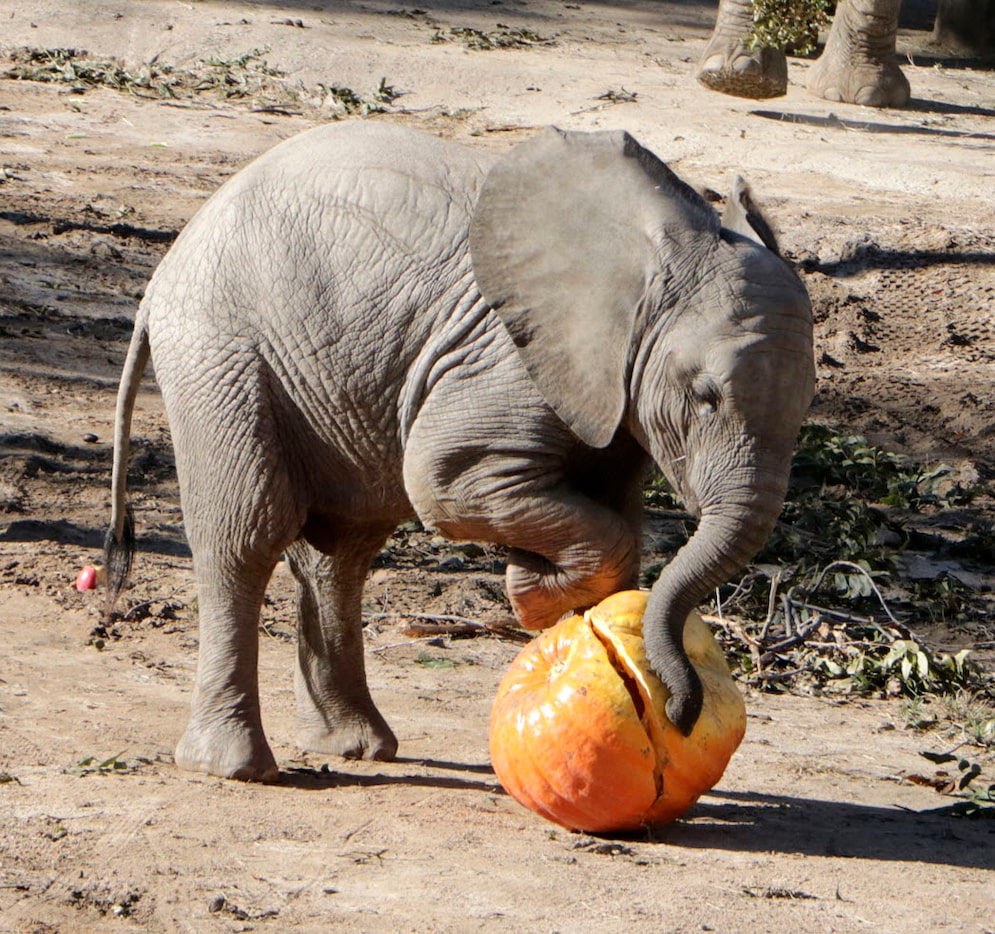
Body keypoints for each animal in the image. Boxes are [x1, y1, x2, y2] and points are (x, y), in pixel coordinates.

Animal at [105, 122, 812, 784]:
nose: (678, 713)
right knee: (247, 534)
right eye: (704, 397)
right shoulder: (509, 358)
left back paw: (355, 746)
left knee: (343, 550)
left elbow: (618, 519)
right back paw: (236, 766)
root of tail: (164, 271)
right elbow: (445, 481)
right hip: (219, 349)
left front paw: (549, 594)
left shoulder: (611, 398)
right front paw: (531, 595)